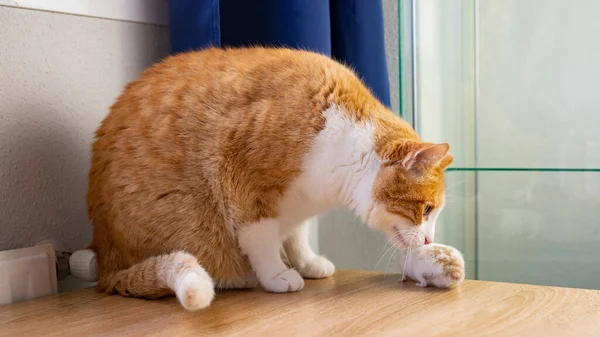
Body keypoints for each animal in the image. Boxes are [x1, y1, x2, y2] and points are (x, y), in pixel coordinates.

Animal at [86, 46, 452, 310]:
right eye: (427, 209)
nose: (430, 240)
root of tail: (106, 265)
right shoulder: (243, 181)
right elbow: (261, 238)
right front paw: (276, 273)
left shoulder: (298, 201)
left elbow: (297, 236)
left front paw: (306, 262)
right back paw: (241, 276)